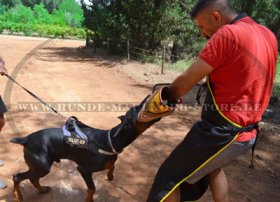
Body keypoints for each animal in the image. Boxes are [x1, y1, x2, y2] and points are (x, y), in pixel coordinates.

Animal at [10, 99, 159, 202]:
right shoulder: (84, 170)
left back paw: (42, 189)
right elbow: (92, 189)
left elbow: (112, 165)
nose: (150, 98)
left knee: (33, 179)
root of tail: (26, 139)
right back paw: (18, 196)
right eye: (137, 108)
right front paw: (89, 199)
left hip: (39, 167)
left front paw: (110, 176)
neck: (110, 140)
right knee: (18, 177)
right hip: (42, 167)